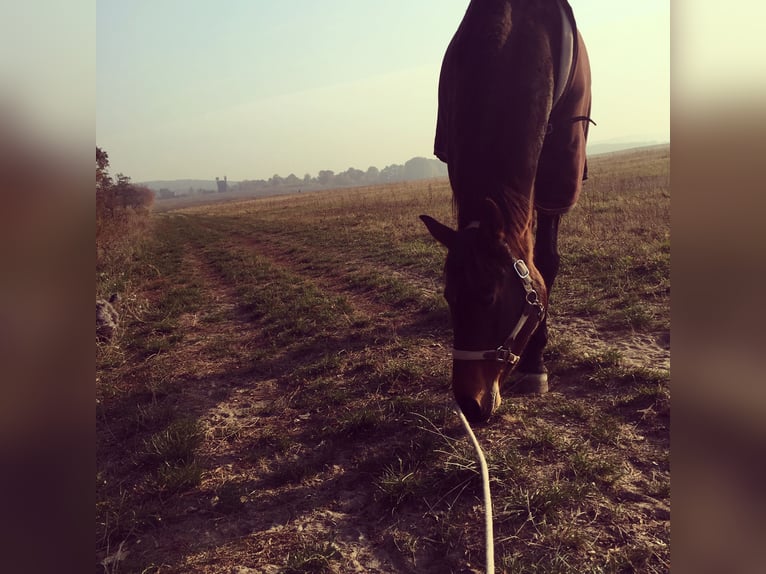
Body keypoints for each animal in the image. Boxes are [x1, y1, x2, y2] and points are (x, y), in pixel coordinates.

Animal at [420, 0, 592, 424]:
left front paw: (536, 363)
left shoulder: (557, 176)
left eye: (488, 296)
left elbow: (545, 261)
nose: (469, 403)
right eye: (447, 296)